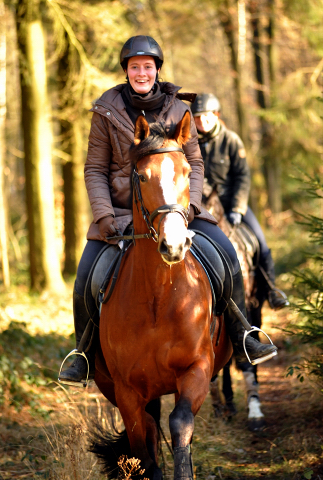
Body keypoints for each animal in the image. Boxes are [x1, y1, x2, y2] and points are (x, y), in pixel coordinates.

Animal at [90, 110, 234, 478]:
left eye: (185, 172)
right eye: (141, 176)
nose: (174, 245)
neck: (159, 296)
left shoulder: (197, 369)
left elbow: (180, 424)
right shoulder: (127, 392)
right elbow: (144, 452)